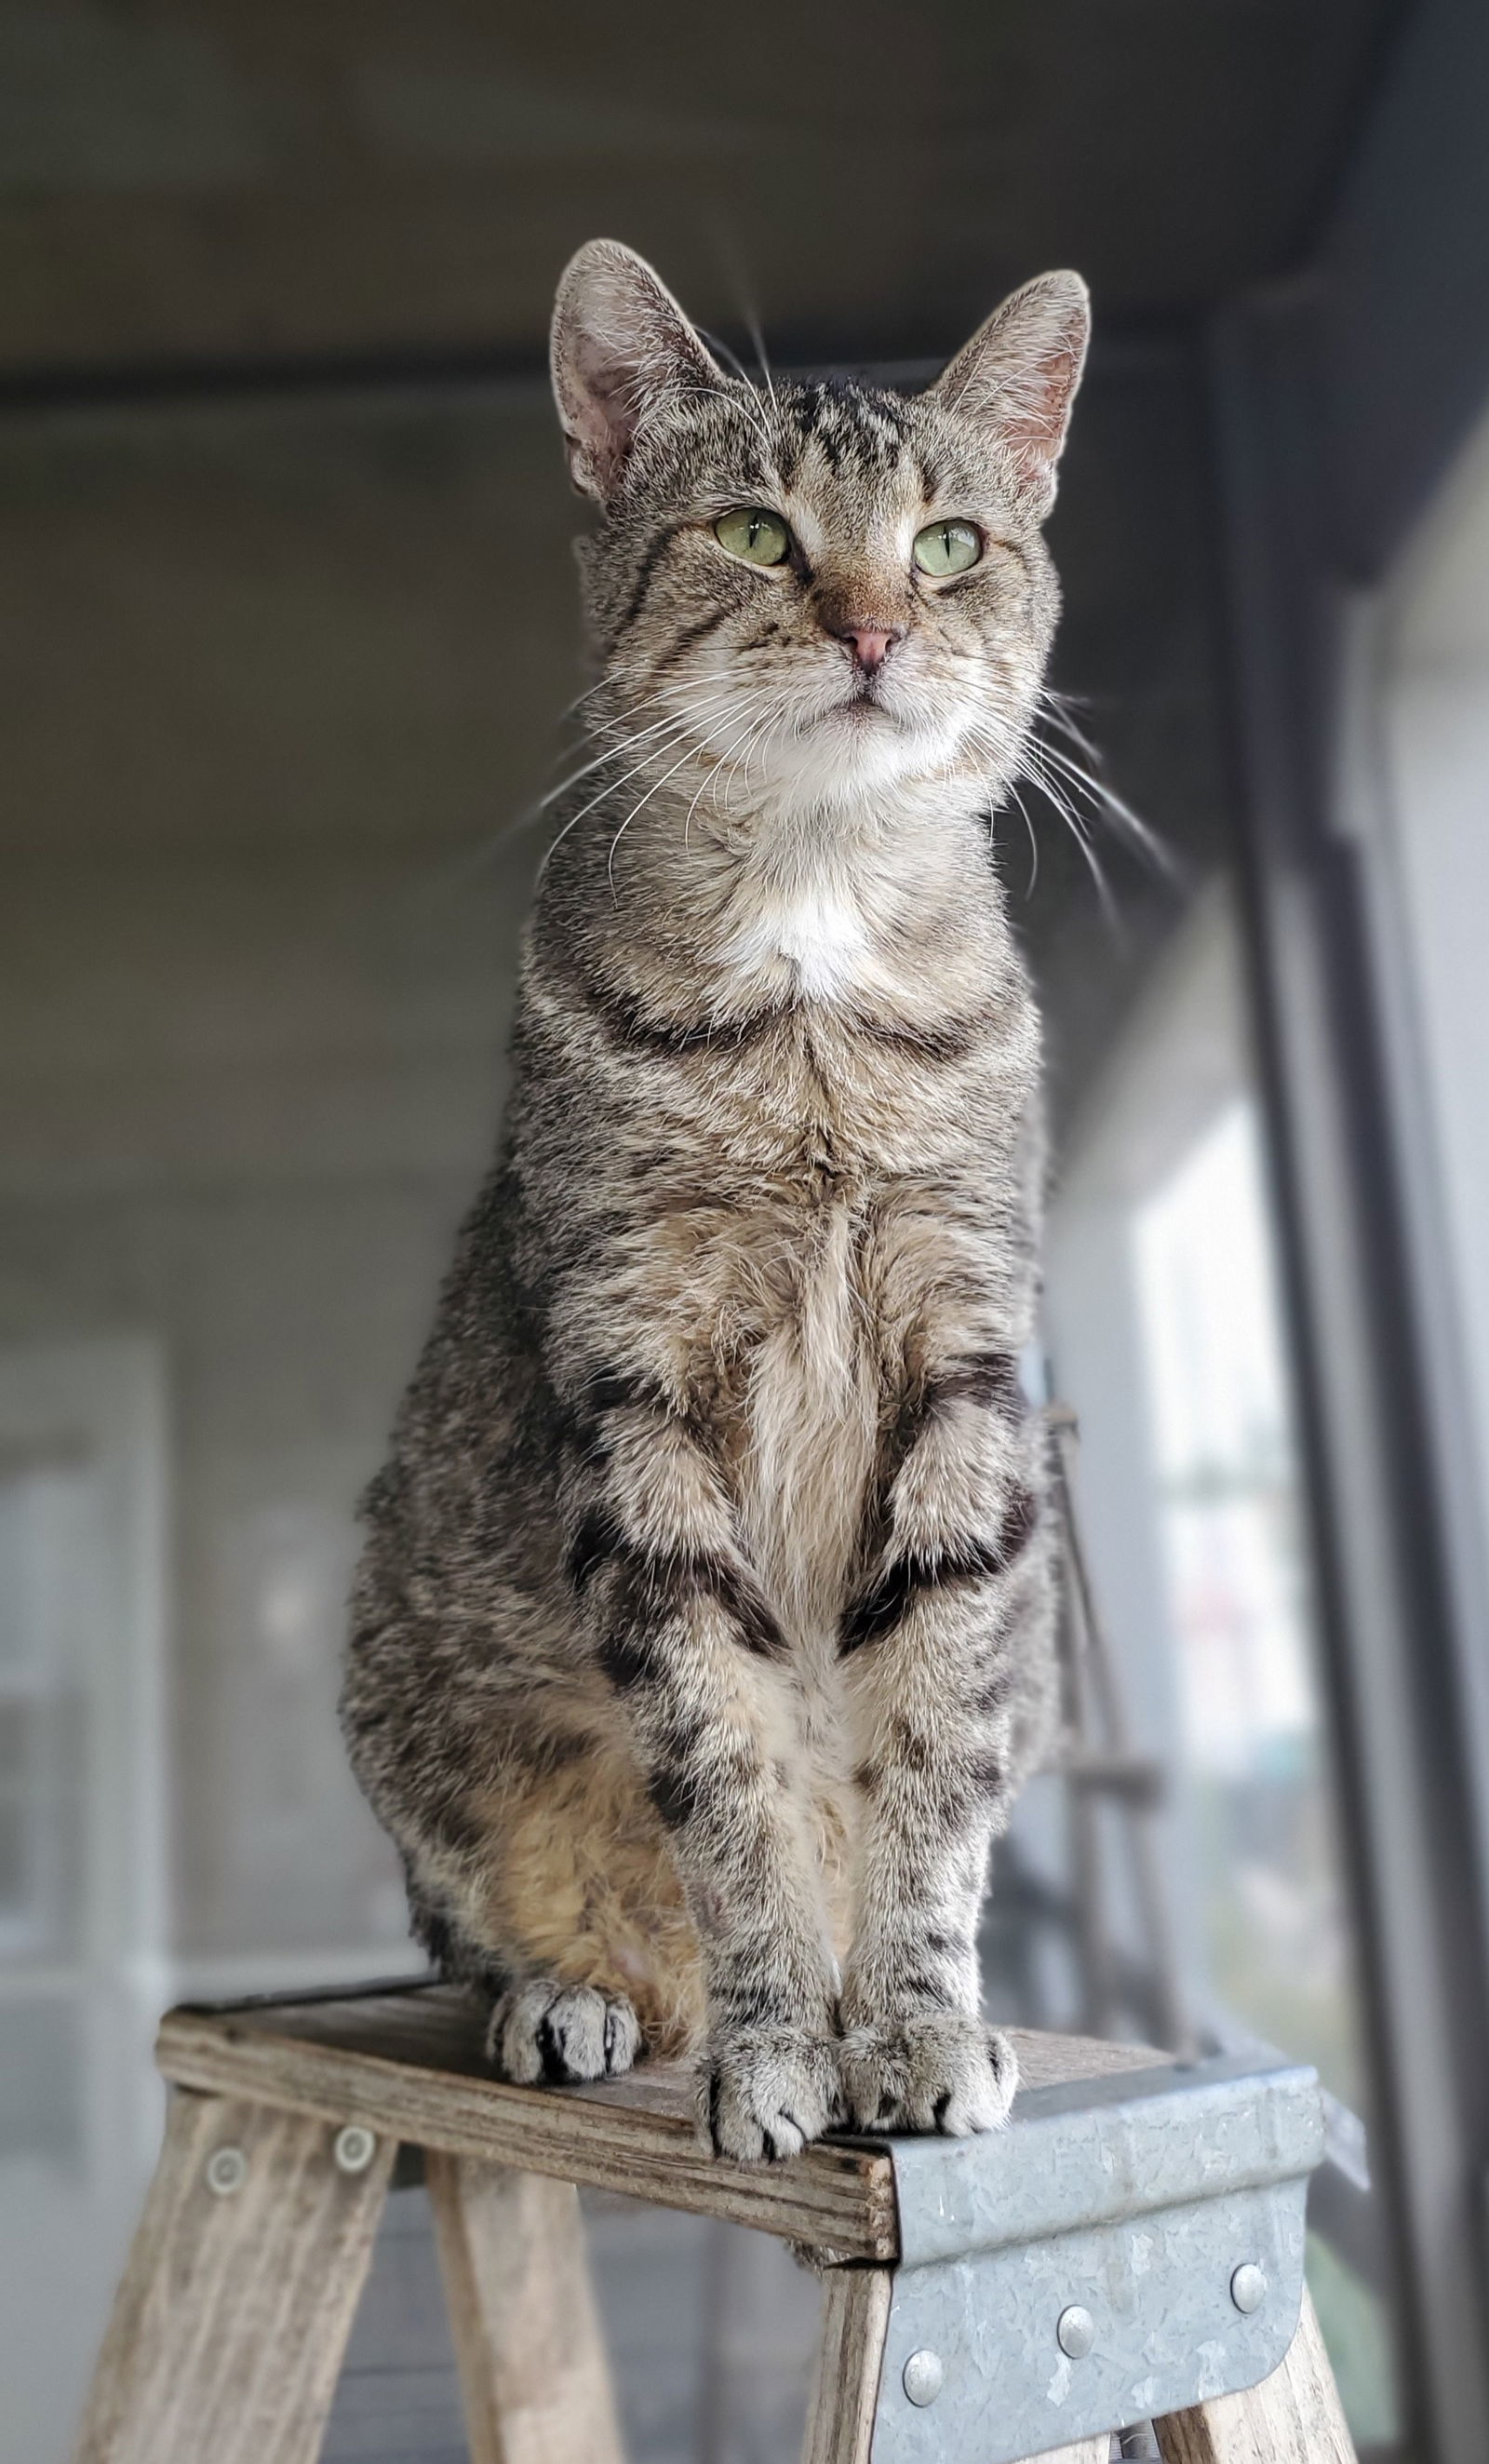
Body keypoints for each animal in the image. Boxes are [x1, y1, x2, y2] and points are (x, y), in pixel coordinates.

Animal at [350, 235, 1094, 2158]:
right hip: (412, 1706)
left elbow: (925, 1759)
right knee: (513, 1924)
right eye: (759, 532)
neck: (813, 967)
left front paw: (911, 2022)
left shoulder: (964, 1361)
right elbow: (729, 1772)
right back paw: (577, 1998)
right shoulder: (637, 1394)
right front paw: (774, 2054)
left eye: (948, 544)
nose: (875, 626)